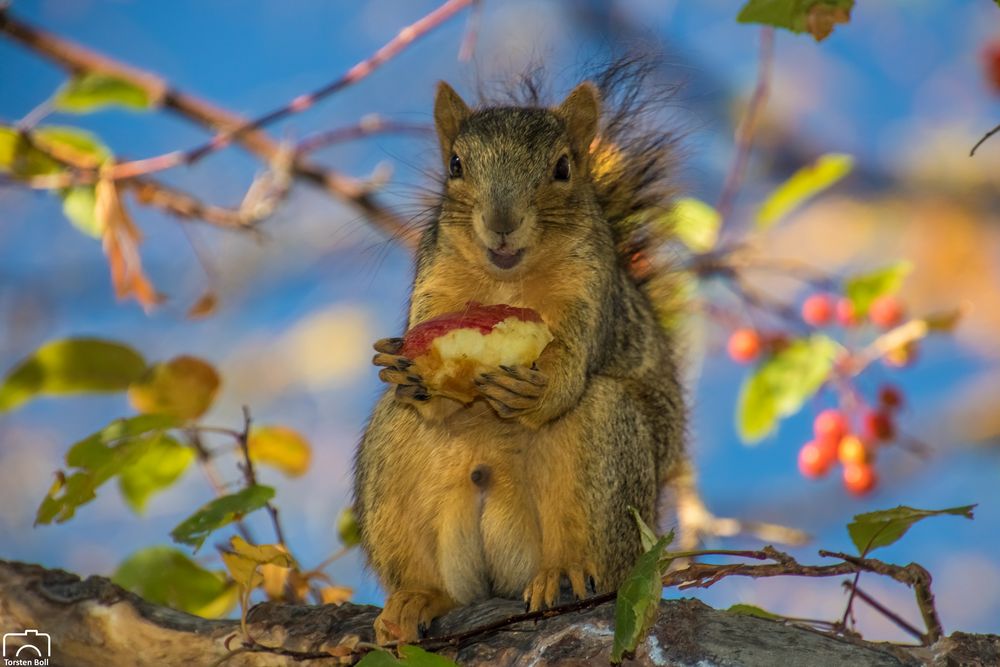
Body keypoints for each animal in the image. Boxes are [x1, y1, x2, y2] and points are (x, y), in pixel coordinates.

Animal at [356, 65, 700, 644]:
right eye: (455, 165)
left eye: (563, 168)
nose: (501, 222)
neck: (507, 280)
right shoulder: (435, 283)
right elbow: (429, 381)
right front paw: (407, 372)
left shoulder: (591, 295)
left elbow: (574, 360)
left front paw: (535, 391)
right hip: (394, 459)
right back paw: (418, 598)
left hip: (608, 448)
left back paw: (564, 572)